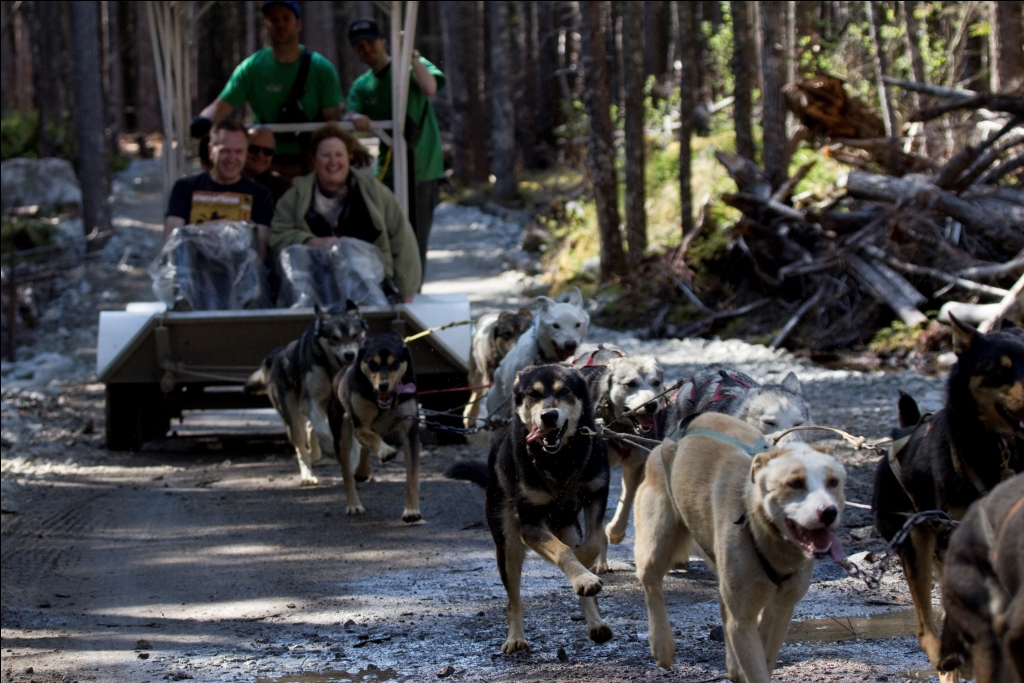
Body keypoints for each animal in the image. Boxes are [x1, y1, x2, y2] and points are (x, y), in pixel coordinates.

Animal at [245, 303, 370, 485]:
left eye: (355, 335)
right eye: (334, 338)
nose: (349, 355)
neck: (332, 370)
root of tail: (277, 354)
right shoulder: (310, 402)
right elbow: (324, 434)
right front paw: (331, 450)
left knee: (311, 429)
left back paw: (315, 454)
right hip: (293, 419)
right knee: (301, 446)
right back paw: (308, 474)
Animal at [329, 331, 421, 524]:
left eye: (395, 364)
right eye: (372, 364)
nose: (383, 386)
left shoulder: (410, 431)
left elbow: (412, 478)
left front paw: (411, 510)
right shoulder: (360, 426)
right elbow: (371, 437)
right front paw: (386, 451)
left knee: (364, 450)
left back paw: (362, 471)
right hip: (341, 435)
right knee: (346, 473)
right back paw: (354, 504)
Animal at [444, 366, 610, 655]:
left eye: (564, 391)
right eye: (533, 394)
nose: (548, 415)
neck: (560, 461)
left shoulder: (597, 494)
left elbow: (592, 541)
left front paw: (584, 570)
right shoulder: (530, 525)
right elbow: (563, 552)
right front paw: (583, 574)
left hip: (566, 525)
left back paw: (595, 621)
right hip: (508, 546)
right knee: (513, 600)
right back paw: (516, 638)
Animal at [630, 411, 847, 679]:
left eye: (833, 482)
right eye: (795, 483)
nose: (829, 512)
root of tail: (679, 431)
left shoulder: (781, 609)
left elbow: (765, 657)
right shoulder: (743, 620)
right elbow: (755, 669)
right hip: (658, 542)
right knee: (651, 583)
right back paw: (662, 643)